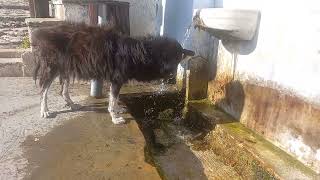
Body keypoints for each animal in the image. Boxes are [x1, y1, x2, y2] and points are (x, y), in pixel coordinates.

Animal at [32, 22, 194, 124]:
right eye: (180, 54)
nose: (192, 52)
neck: (143, 53)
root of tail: (41, 33)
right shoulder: (117, 80)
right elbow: (112, 100)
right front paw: (115, 118)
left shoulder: (117, 81)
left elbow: (114, 99)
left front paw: (118, 110)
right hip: (52, 69)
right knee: (43, 90)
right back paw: (44, 110)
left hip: (66, 68)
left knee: (62, 91)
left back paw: (72, 104)